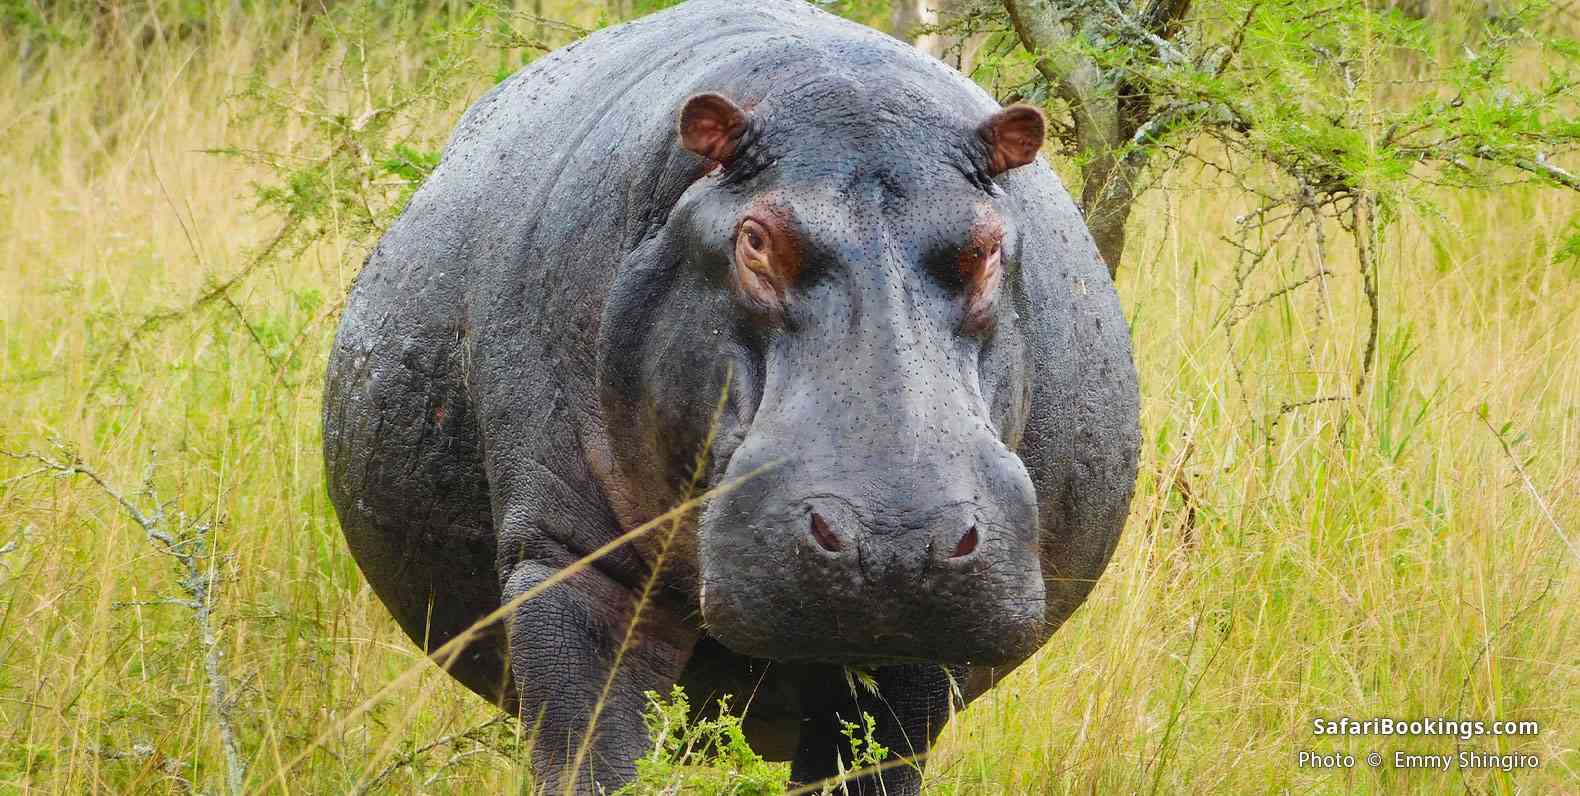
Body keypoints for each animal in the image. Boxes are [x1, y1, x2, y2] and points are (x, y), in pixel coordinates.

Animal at [321, 0, 1139, 792]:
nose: (897, 539)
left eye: (990, 245)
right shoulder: (570, 561)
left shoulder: (920, 646)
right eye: (753, 239)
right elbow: (591, 753)